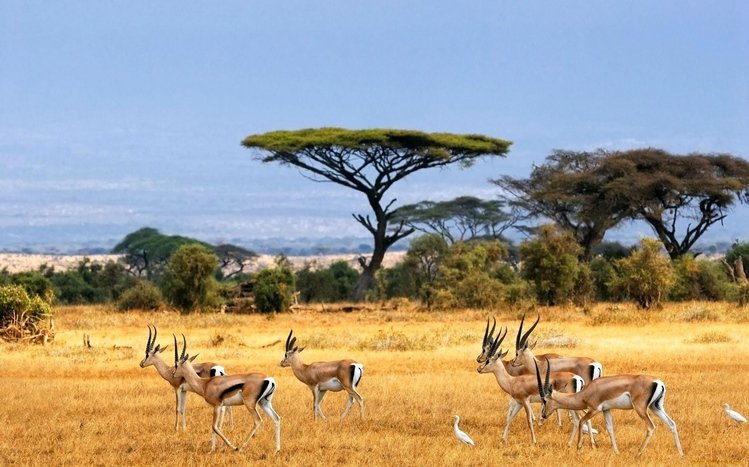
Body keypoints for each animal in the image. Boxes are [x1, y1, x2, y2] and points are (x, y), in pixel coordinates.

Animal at [535, 358, 684, 456]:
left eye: (544, 400)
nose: (543, 415)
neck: (586, 392)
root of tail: (657, 382)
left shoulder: (594, 409)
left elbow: (582, 421)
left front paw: (578, 449)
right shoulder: (607, 410)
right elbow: (610, 429)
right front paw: (616, 451)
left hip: (641, 409)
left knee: (651, 427)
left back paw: (638, 453)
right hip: (656, 407)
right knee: (672, 424)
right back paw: (680, 454)